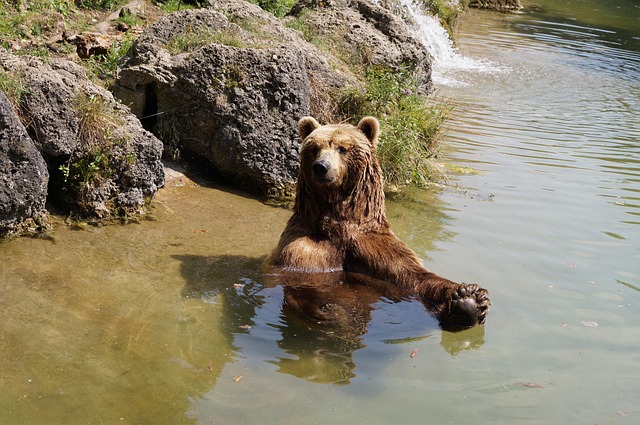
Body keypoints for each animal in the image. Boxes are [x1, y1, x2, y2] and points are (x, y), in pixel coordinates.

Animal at [267, 116, 490, 329]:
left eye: (342, 148)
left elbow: (412, 276)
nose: (321, 167)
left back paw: (466, 309)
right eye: (315, 148)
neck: (340, 223)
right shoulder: (306, 245)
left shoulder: (372, 245)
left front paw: (469, 295)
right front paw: (330, 310)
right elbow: (302, 278)